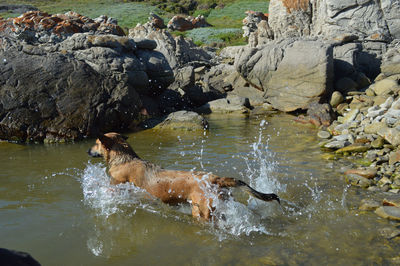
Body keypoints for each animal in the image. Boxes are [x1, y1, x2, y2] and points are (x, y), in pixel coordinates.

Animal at [88, 132, 280, 219]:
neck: (124, 159)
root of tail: (214, 178)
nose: (87, 151)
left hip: (204, 211)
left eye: (95, 143)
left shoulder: (116, 184)